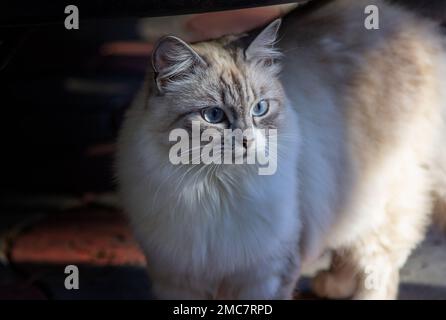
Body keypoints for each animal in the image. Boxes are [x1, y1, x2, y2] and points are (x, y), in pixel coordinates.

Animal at [116, 0, 446, 300]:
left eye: (260, 109)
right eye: (213, 115)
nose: (248, 141)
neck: (212, 189)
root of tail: (420, 28)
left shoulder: (266, 273)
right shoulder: (177, 276)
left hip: (376, 199)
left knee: (380, 270)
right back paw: (331, 285)